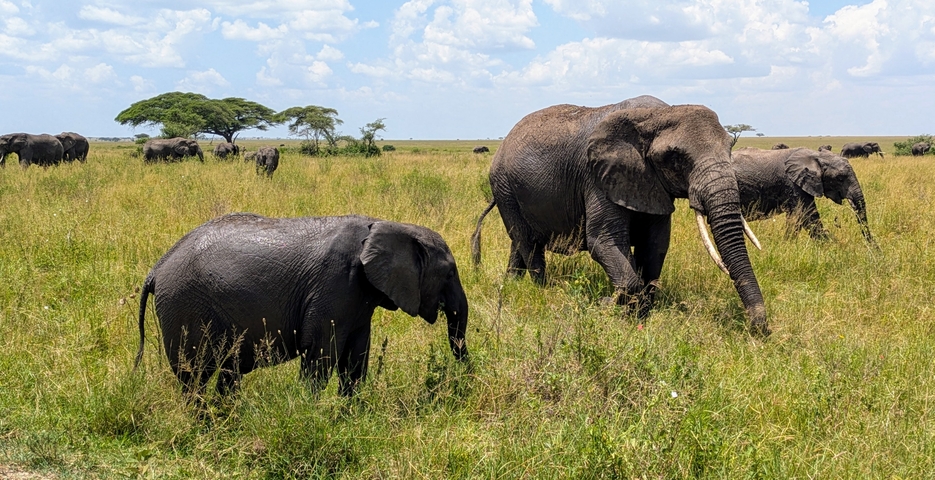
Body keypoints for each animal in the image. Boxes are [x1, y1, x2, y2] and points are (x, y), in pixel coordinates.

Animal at [135, 213, 469, 397]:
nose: (467, 379)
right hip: (185, 305)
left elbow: (356, 360)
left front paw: (349, 418)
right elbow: (321, 354)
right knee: (194, 376)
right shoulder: (335, 285)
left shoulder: (359, 299)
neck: (390, 225)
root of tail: (156, 269)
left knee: (227, 374)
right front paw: (311, 414)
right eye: (450, 273)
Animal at [471, 95, 769, 334]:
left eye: (730, 148)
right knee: (527, 242)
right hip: (504, 186)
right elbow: (604, 241)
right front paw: (612, 306)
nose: (761, 330)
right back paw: (542, 291)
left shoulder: (652, 185)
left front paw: (641, 313)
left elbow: (655, 246)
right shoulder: (597, 177)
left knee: (520, 242)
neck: (659, 114)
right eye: (676, 158)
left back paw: (512, 284)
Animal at [731, 147, 875, 245]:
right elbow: (807, 215)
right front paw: (833, 246)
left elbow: (797, 217)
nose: (876, 249)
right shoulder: (793, 183)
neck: (816, 156)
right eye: (840, 178)